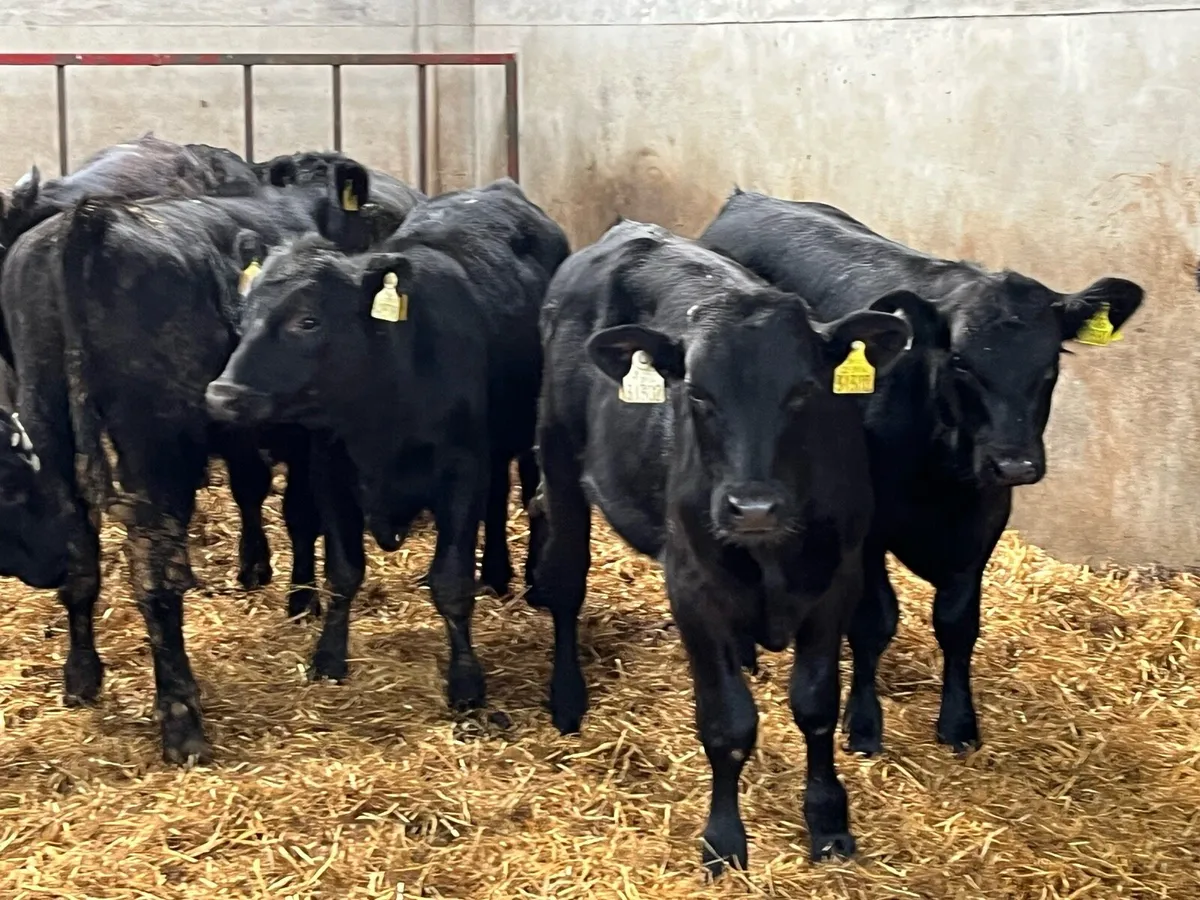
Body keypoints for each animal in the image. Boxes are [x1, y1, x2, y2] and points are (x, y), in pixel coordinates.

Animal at [204, 178, 569, 718]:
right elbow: (342, 572)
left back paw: (520, 580)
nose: (223, 395)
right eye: (242, 315)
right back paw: (495, 573)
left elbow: (451, 582)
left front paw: (466, 685)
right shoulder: (330, 471)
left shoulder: (461, 471)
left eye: (308, 321)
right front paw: (329, 658)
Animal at [529, 219, 912, 873]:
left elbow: (816, 706)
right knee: (565, 581)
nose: (752, 506)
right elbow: (727, 723)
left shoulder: (835, 583)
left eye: (803, 391)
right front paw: (725, 838)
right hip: (557, 453)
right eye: (699, 395)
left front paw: (828, 819)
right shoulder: (692, 588)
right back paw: (567, 697)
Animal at [698, 189, 1144, 755]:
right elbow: (874, 621)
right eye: (960, 362)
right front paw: (863, 723)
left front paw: (958, 722)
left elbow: (957, 623)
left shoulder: (982, 523)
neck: (941, 477)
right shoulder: (865, 530)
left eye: (1051, 364)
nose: (1014, 462)